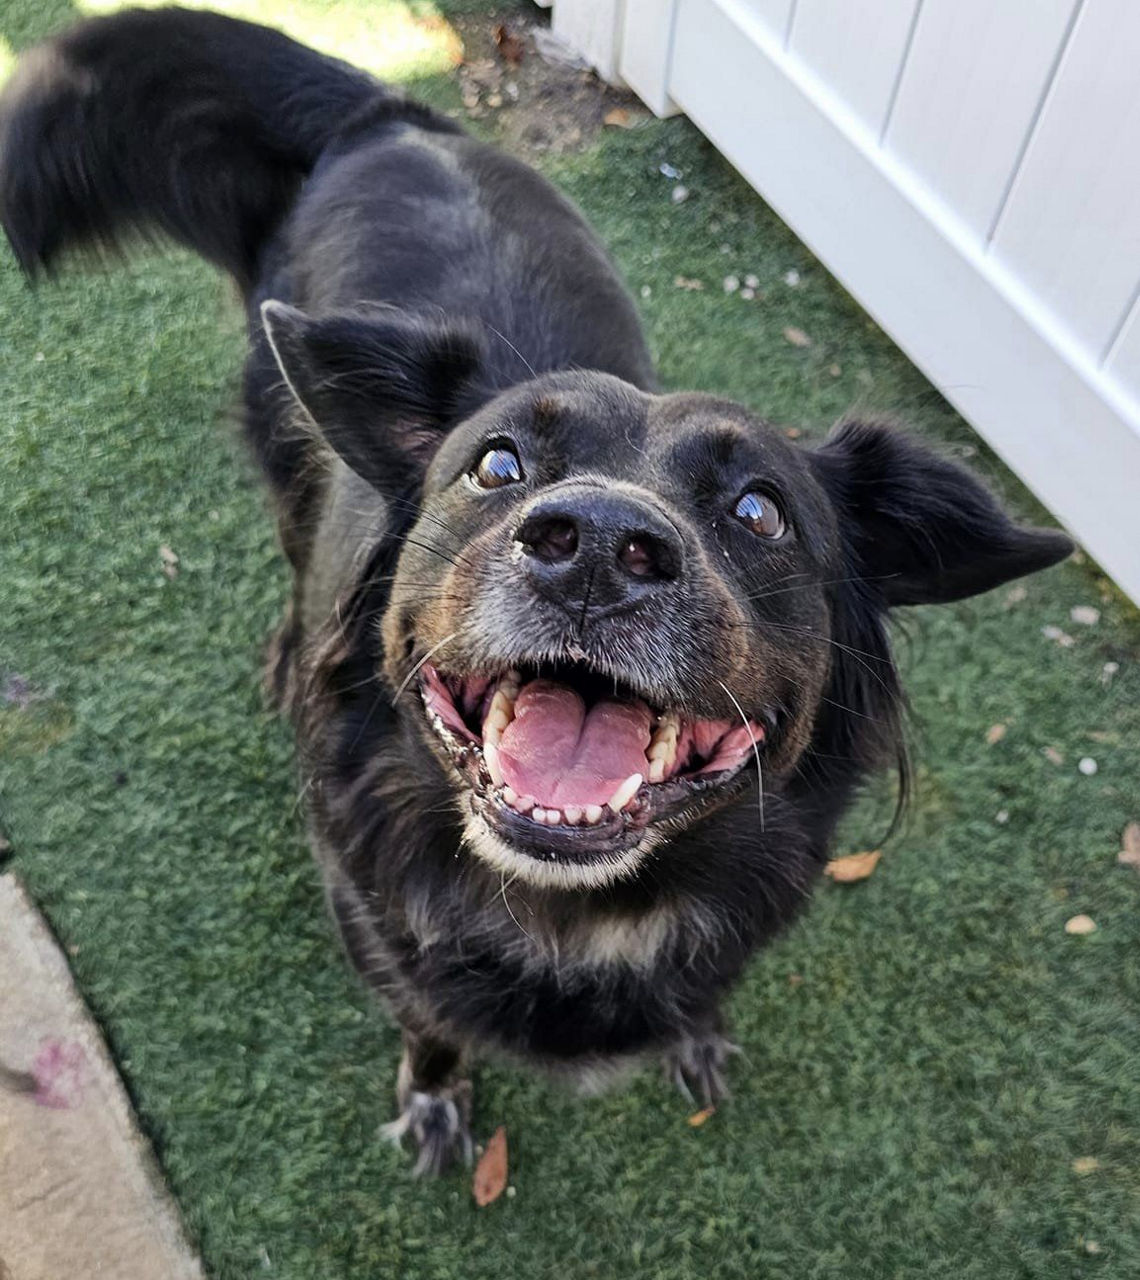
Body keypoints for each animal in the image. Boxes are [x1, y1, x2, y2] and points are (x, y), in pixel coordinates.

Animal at [0, 5, 1074, 1172]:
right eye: (498, 464)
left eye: (760, 511)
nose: (597, 545)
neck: (574, 915)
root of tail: (392, 115)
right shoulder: (379, 927)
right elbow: (429, 1020)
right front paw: (435, 1096)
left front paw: (696, 1034)